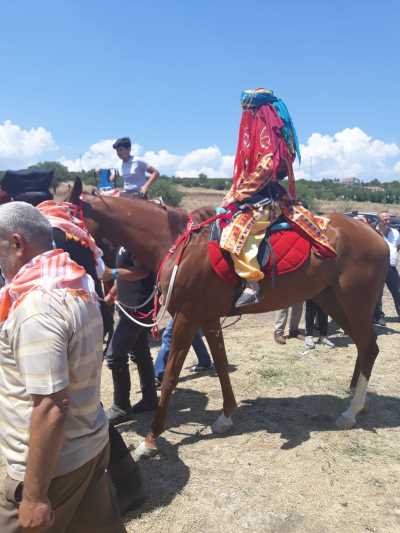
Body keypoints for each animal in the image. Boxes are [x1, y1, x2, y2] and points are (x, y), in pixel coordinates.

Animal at [69, 177, 388, 460]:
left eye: (64, 230)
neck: (177, 244)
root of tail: (377, 236)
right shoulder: (207, 317)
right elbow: (221, 364)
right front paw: (226, 416)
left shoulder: (186, 318)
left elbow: (171, 376)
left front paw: (149, 440)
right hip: (332, 301)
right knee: (363, 346)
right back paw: (357, 399)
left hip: (354, 303)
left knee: (370, 347)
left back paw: (350, 412)